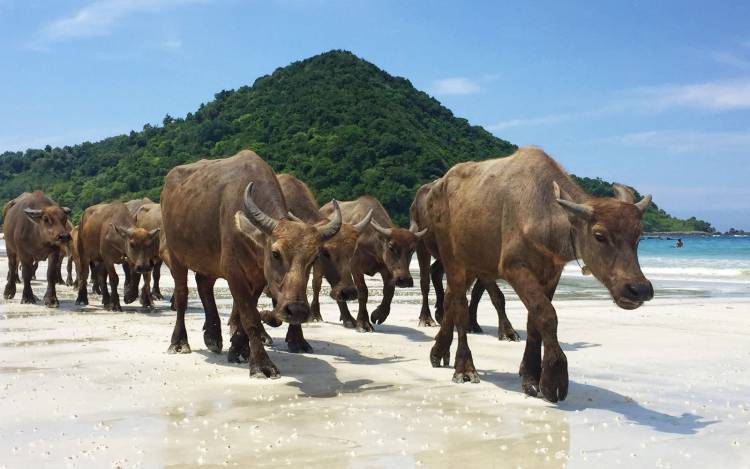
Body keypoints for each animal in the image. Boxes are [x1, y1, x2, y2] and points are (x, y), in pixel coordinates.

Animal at [163, 150, 346, 376]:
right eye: (275, 254)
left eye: (313, 259)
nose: (297, 310)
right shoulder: (234, 273)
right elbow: (249, 316)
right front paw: (261, 363)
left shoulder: (259, 277)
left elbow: (247, 314)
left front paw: (238, 348)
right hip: (176, 256)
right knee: (182, 295)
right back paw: (179, 342)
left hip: (208, 259)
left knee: (204, 284)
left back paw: (213, 337)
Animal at [318, 196, 428, 330]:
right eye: (391, 247)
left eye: (412, 249)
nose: (404, 280)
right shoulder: (355, 267)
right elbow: (363, 291)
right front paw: (363, 322)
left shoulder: (387, 268)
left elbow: (389, 290)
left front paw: (379, 314)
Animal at [412, 179, 524, 340]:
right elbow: (497, 296)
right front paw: (508, 331)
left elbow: (476, 294)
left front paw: (472, 324)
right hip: (421, 243)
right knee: (424, 281)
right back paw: (426, 318)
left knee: (436, 272)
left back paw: (441, 314)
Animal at [426, 147, 656, 402]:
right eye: (599, 235)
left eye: (638, 236)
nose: (639, 289)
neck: (543, 215)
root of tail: (439, 186)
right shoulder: (514, 267)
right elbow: (546, 314)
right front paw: (553, 378)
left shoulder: (550, 275)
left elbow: (534, 320)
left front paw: (531, 376)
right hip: (453, 261)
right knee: (459, 305)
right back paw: (464, 367)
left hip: (473, 265)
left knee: (450, 300)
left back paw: (439, 351)